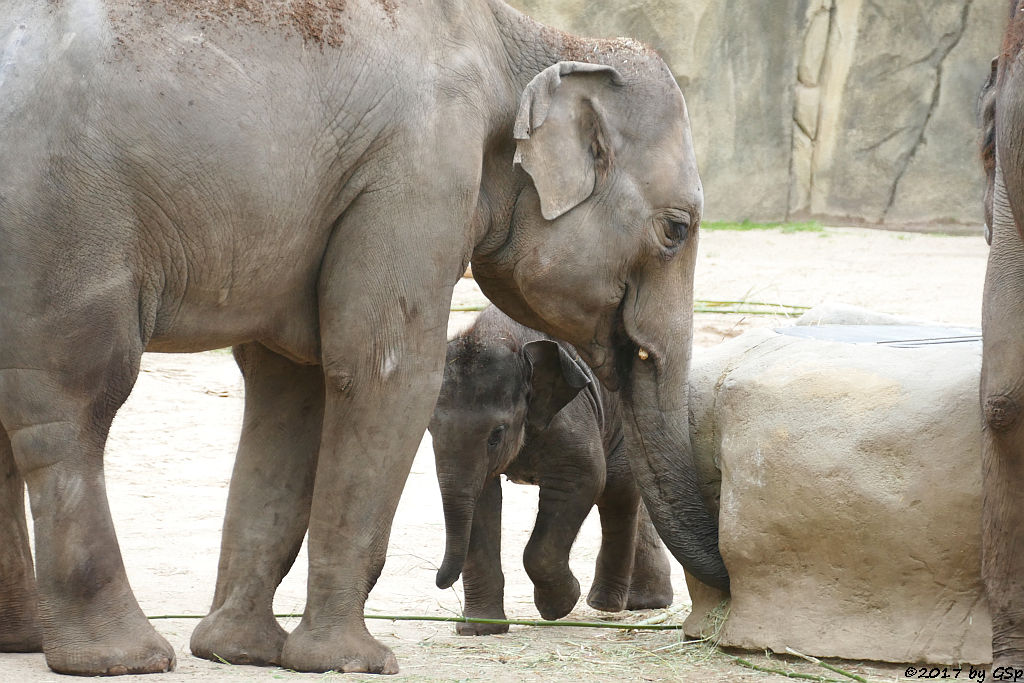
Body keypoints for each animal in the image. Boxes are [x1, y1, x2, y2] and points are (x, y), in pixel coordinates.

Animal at [430, 307, 675, 634]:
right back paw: (647, 602)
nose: (440, 581)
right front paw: (480, 629)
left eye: (497, 434)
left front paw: (558, 606)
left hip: (628, 424)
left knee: (617, 489)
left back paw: (605, 604)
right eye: (429, 429)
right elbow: (482, 502)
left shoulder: (568, 415)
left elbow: (586, 477)